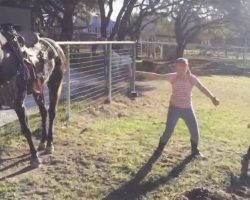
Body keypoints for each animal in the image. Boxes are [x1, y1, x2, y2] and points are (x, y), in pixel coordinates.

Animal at [0, 31, 67, 167]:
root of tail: (55, 45)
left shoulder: (18, 103)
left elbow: (26, 130)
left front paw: (35, 157)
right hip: (38, 91)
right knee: (43, 112)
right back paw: (42, 143)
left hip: (55, 84)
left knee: (52, 112)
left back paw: (49, 145)